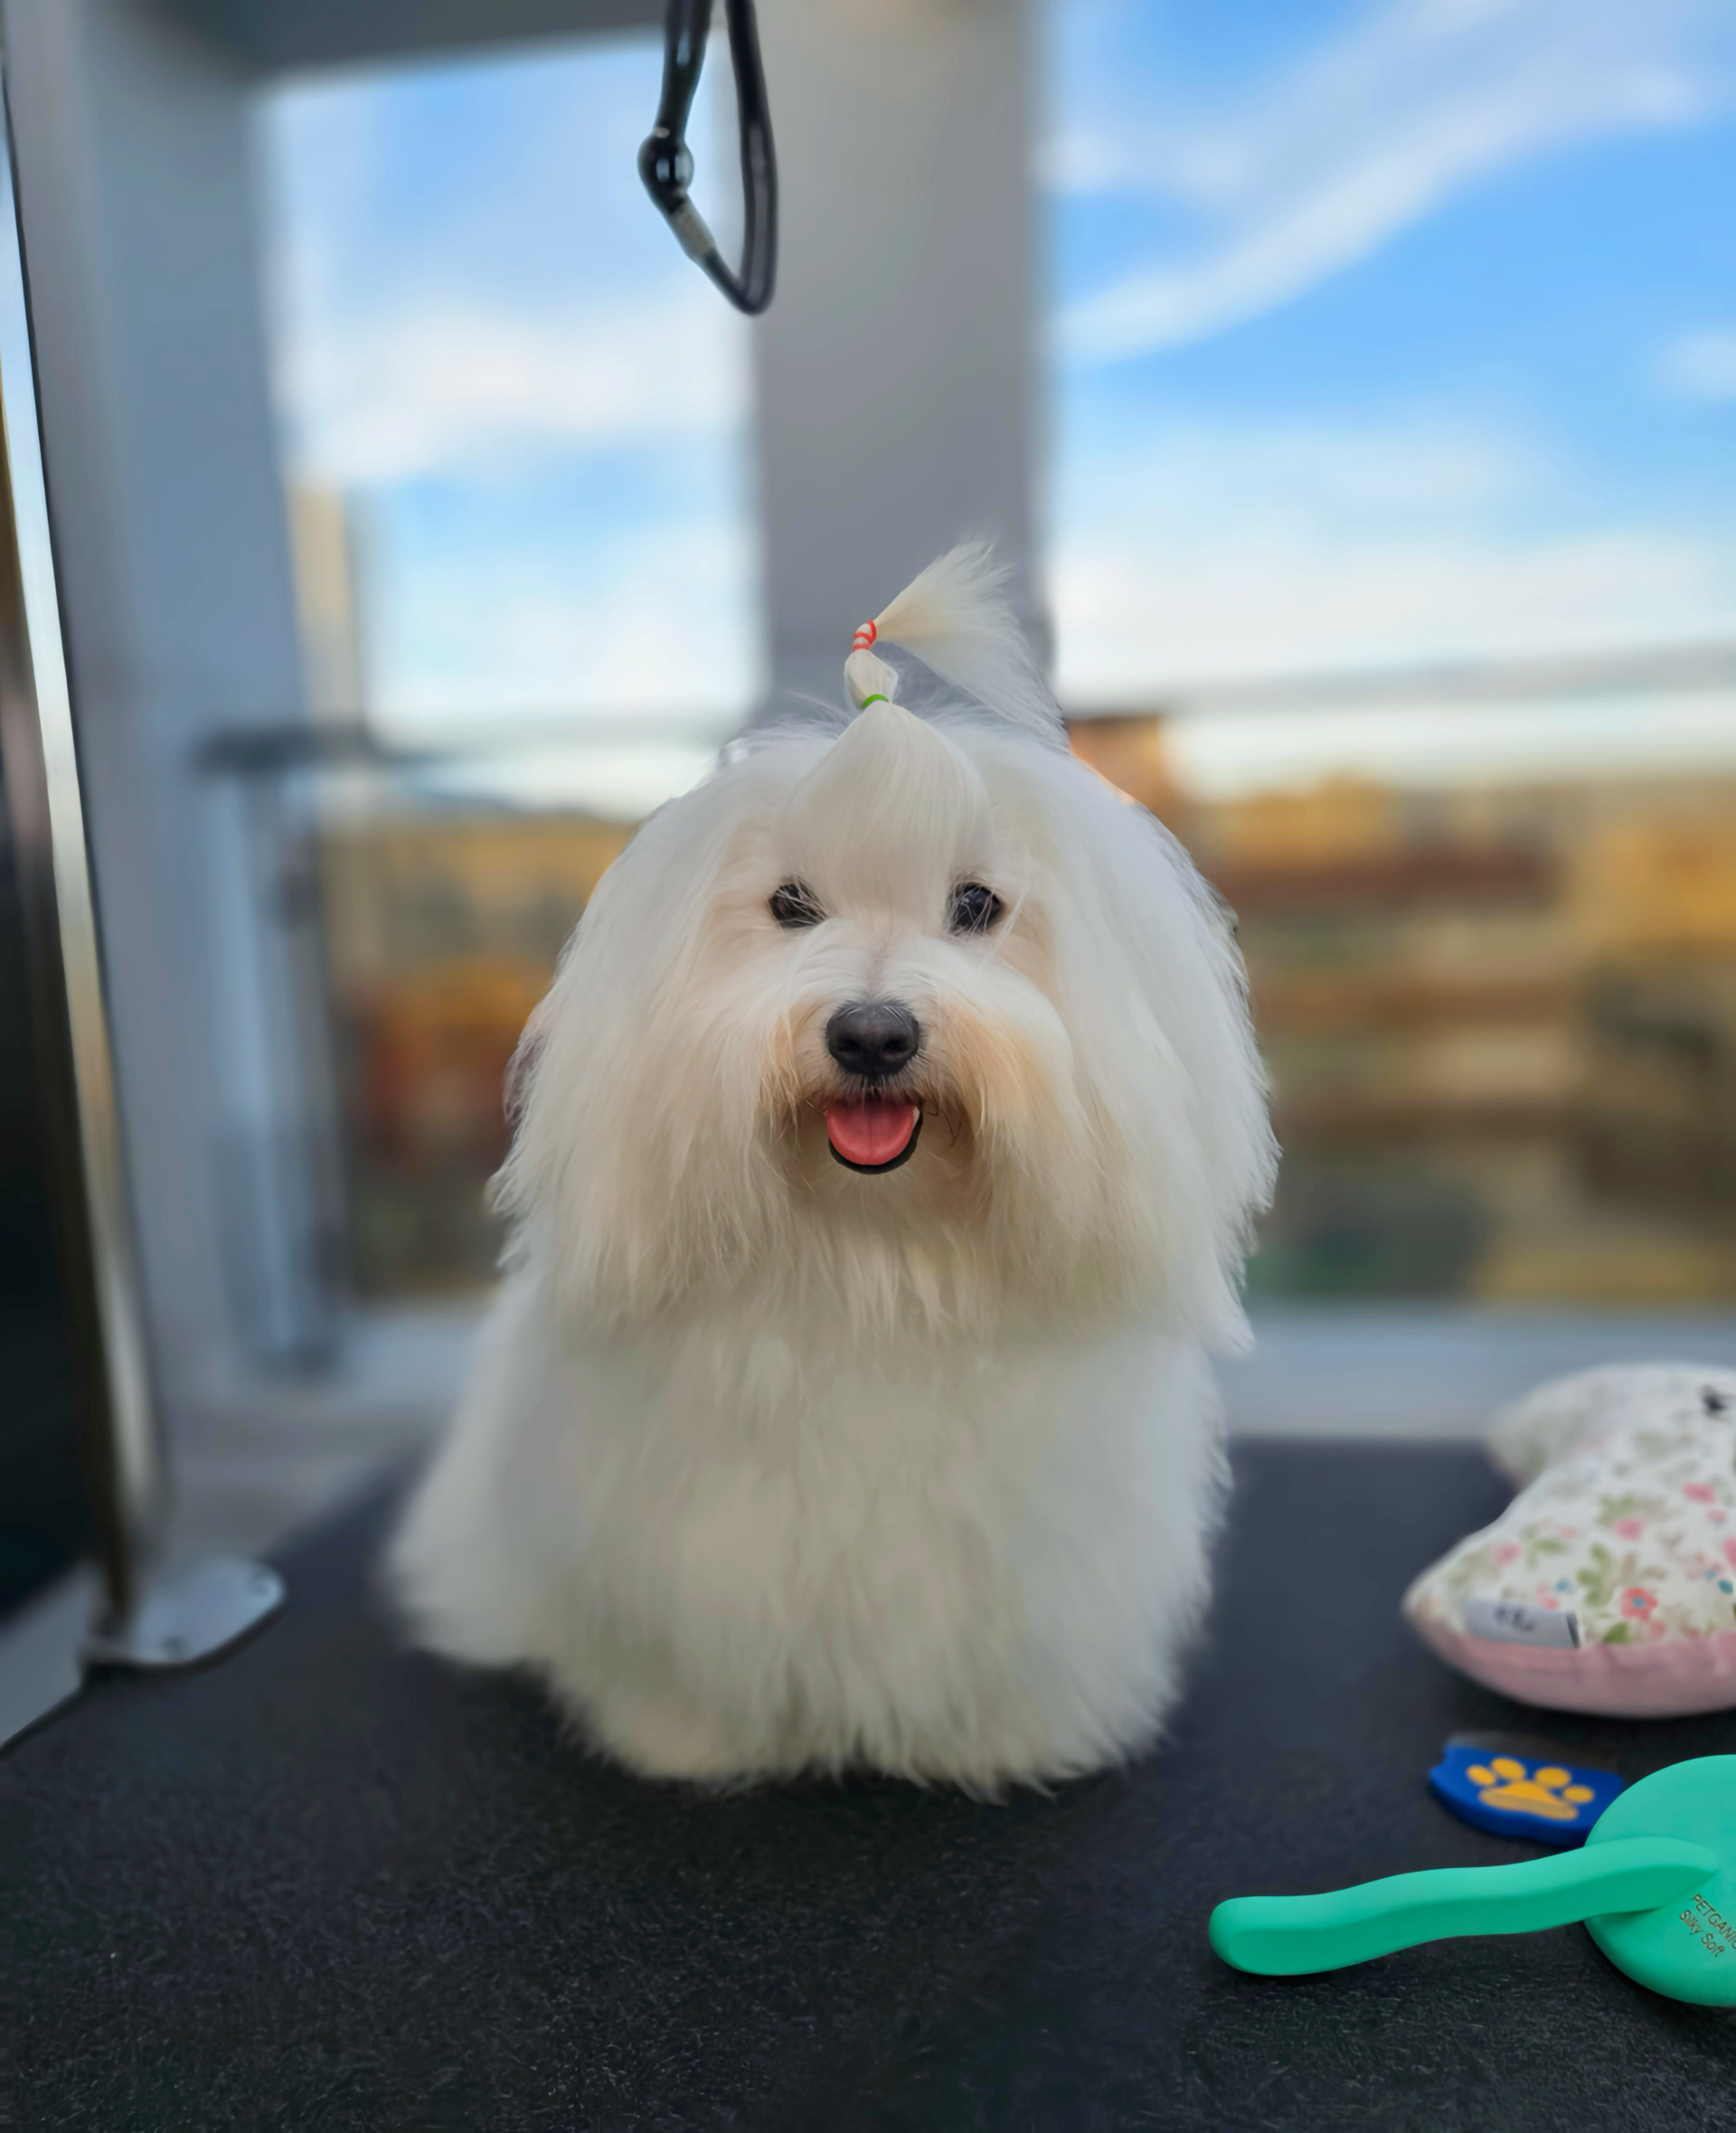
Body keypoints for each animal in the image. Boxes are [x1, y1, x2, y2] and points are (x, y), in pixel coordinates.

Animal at [389, 545, 1275, 1789]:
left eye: (977, 905)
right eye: (790, 906)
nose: (871, 1034)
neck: (877, 1256)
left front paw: (1008, 1741)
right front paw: (685, 1738)